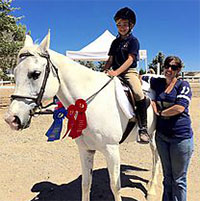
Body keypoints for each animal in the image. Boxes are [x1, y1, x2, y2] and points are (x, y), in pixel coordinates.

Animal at [4, 32, 159, 200]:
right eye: (15, 72)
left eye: (35, 74)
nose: (11, 119)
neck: (91, 103)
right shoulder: (85, 150)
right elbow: (86, 184)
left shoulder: (112, 150)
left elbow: (115, 187)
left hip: (153, 135)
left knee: (156, 157)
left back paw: (151, 190)